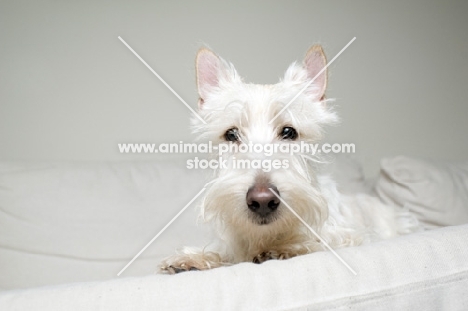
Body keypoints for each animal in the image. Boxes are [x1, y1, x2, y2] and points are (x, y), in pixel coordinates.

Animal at [159, 45, 418, 274]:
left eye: (288, 132)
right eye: (231, 134)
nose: (262, 200)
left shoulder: (352, 235)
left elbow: (321, 241)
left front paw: (286, 248)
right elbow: (223, 250)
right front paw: (191, 258)